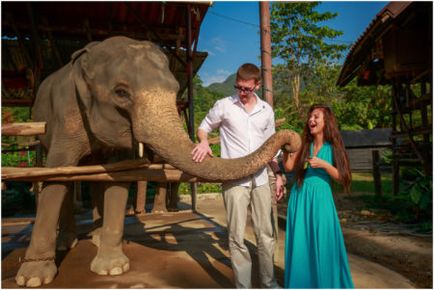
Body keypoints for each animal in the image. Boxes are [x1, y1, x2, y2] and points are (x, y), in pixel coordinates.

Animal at [16, 35, 302, 286]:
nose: (291, 143)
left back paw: (95, 236)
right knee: (67, 176)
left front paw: (112, 268)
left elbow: (118, 177)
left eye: (175, 91)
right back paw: (67, 242)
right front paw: (32, 278)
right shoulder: (67, 116)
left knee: (95, 174)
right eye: (121, 93)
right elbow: (56, 175)